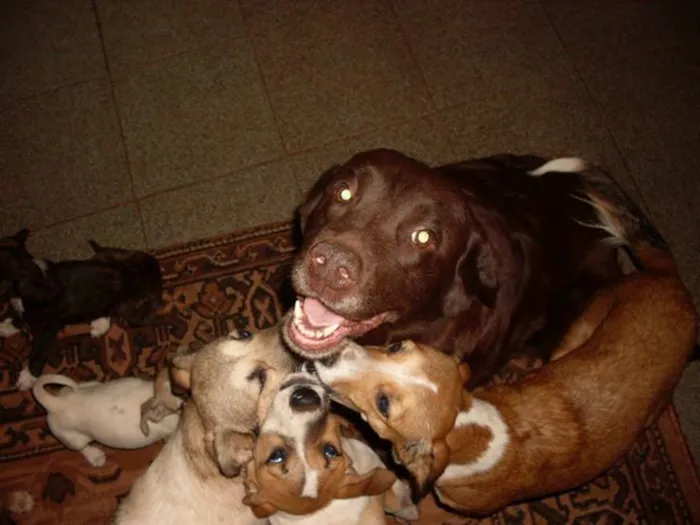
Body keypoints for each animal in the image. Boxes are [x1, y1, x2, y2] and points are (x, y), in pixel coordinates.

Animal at [0, 229, 163, 388]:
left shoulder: (49, 324)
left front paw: (28, 376)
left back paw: (100, 323)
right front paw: (6, 326)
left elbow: (39, 349)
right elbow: (19, 319)